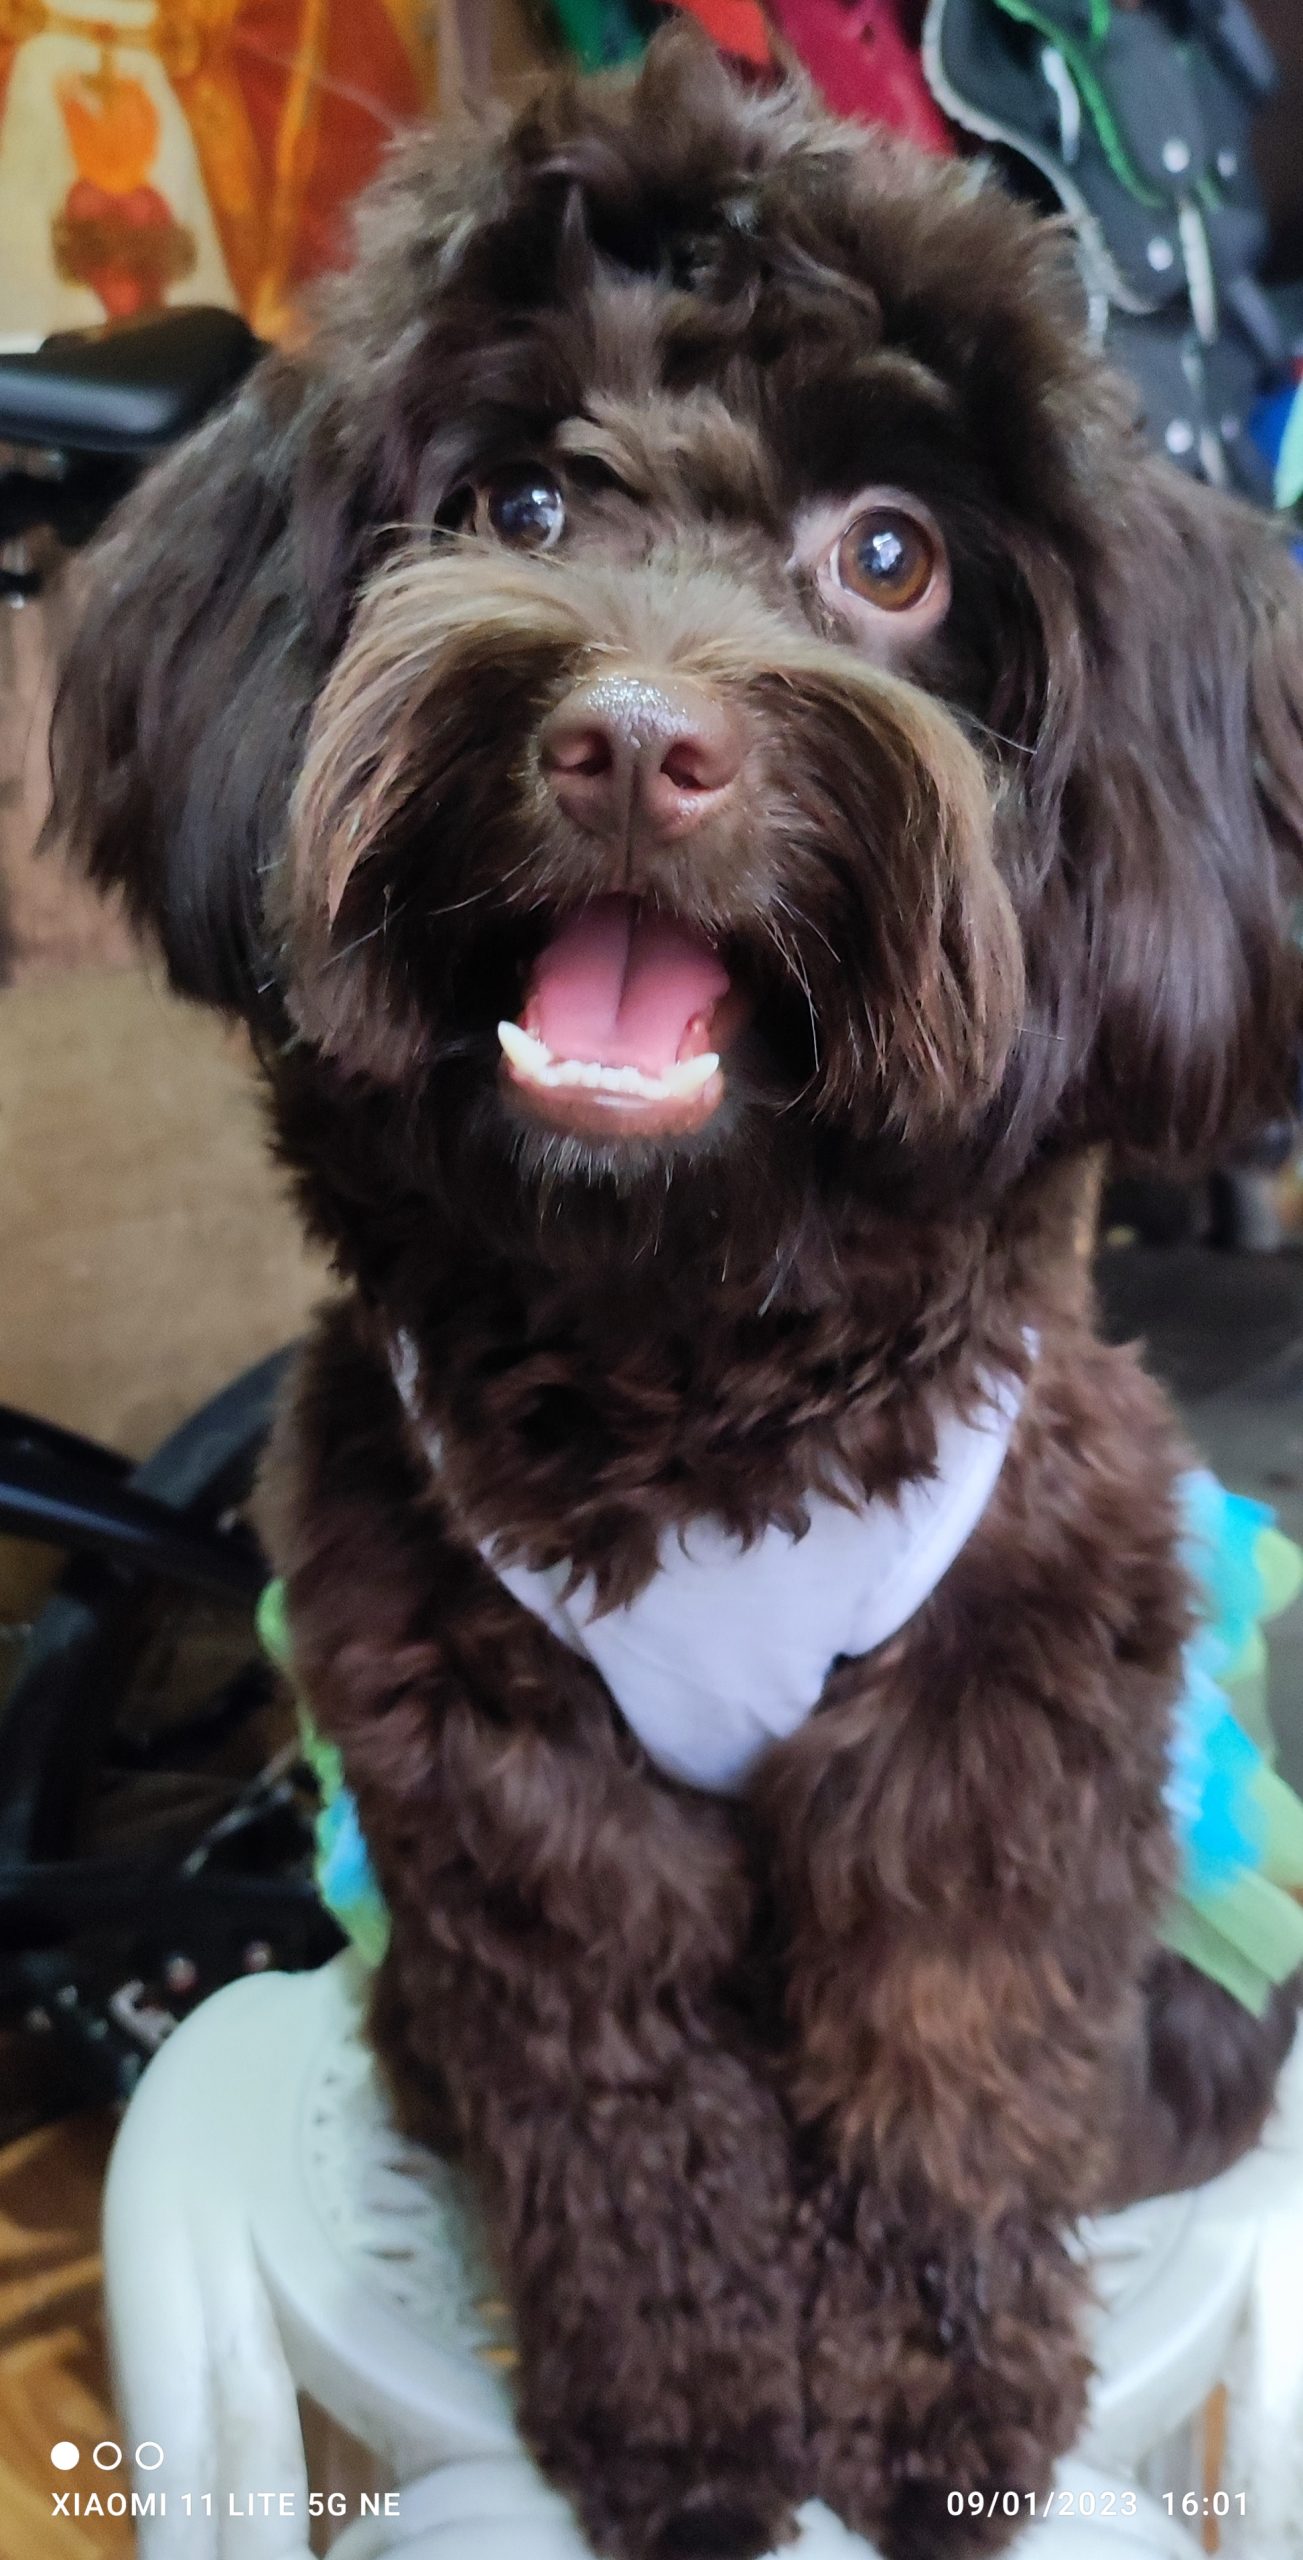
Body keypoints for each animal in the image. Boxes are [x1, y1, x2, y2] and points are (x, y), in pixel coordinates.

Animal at [50, 29, 1303, 2560]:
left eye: (894, 555)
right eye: (521, 498)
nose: (634, 734)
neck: (692, 1349)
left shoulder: (988, 1722)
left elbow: (942, 2061)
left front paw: (938, 2412)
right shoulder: (499, 1769)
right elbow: (628, 2120)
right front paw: (699, 2426)